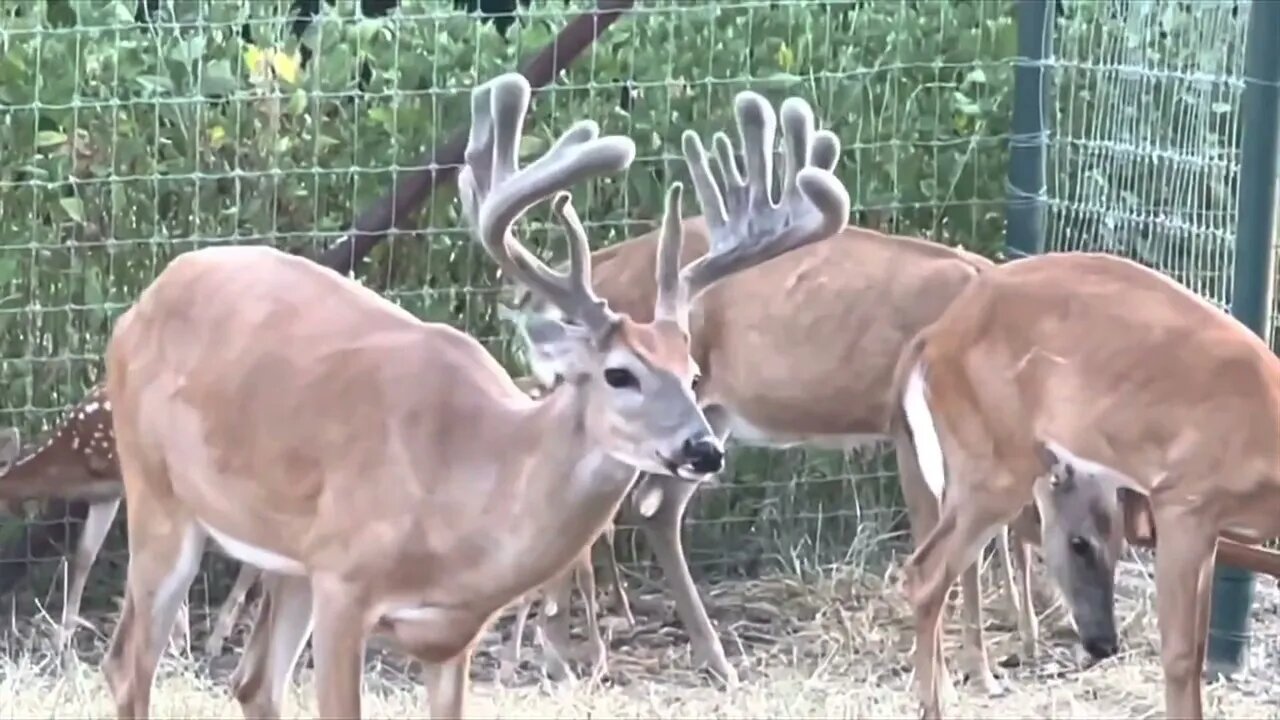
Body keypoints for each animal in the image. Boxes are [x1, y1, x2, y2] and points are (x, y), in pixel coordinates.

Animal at [97, 74, 849, 717]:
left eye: (693, 374)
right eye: (619, 374)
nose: (703, 449)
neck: (463, 492)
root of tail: (145, 298)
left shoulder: (451, 634)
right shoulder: (345, 580)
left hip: (284, 558)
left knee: (252, 683)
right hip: (157, 494)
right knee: (128, 666)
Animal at [890, 249, 1280, 712]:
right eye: (1079, 546)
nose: (1103, 645)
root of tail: (933, 336)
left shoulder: (1210, 527)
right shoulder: (1184, 501)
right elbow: (1183, 656)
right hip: (994, 468)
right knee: (925, 573)